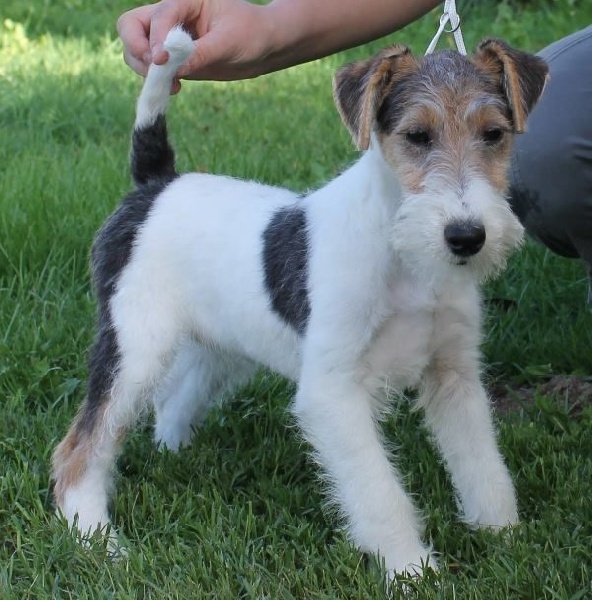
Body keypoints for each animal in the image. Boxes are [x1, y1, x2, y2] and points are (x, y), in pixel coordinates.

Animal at [52, 29, 552, 580]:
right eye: (417, 136)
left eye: (494, 133)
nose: (466, 237)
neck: (401, 249)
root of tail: (157, 184)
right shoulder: (333, 392)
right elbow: (380, 493)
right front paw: (410, 569)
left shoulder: (454, 375)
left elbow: (484, 467)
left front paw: (506, 539)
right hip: (133, 348)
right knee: (78, 450)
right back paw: (98, 540)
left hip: (223, 346)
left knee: (173, 399)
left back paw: (174, 453)